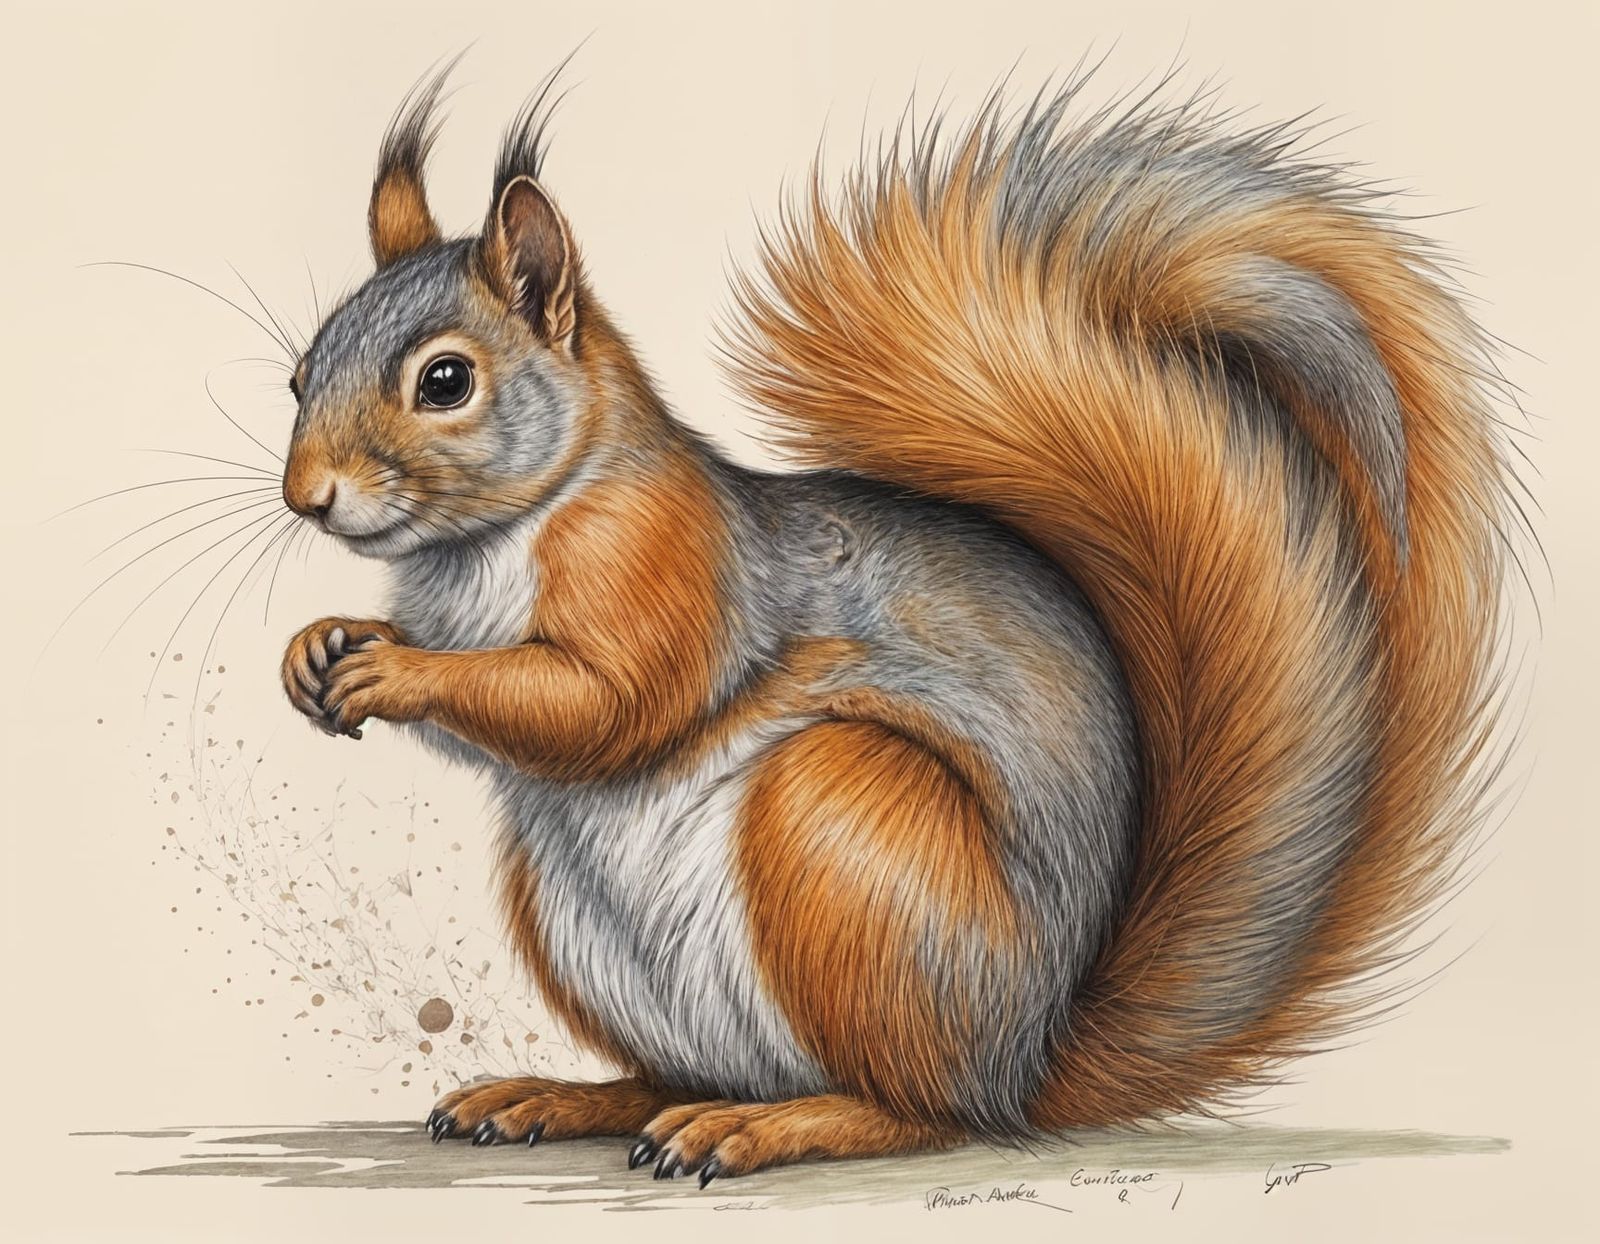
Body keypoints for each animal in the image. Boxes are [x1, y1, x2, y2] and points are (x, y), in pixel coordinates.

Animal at [278, 64, 1511, 1185]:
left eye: (445, 381)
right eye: (299, 373)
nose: (307, 497)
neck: (489, 544)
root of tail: (1025, 1063)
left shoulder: (673, 574)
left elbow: (610, 705)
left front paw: (396, 671)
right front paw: (314, 647)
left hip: (840, 825)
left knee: (919, 1110)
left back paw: (769, 1127)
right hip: (582, 921)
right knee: (679, 1072)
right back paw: (562, 1096)